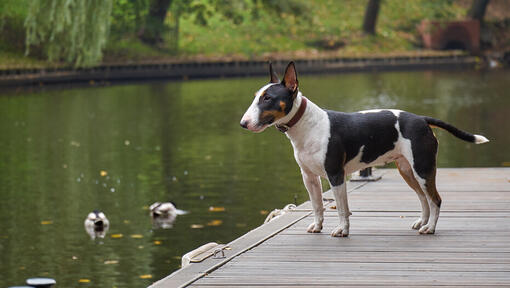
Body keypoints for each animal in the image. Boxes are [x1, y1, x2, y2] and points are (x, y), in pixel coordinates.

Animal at [241, 61, 488, 236]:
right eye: (256, 97)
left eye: (268, 98)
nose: (243, 123)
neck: (307, 126)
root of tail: (421, 119)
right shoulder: (309, 177)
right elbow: (317, 205)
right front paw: (317, 226)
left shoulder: (336, 175)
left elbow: (342, 208)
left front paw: (342, 230)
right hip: (408, 170)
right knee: (423, 198)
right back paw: (422, 223)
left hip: (423, 168)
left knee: (435, 199)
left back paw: (430, 228)